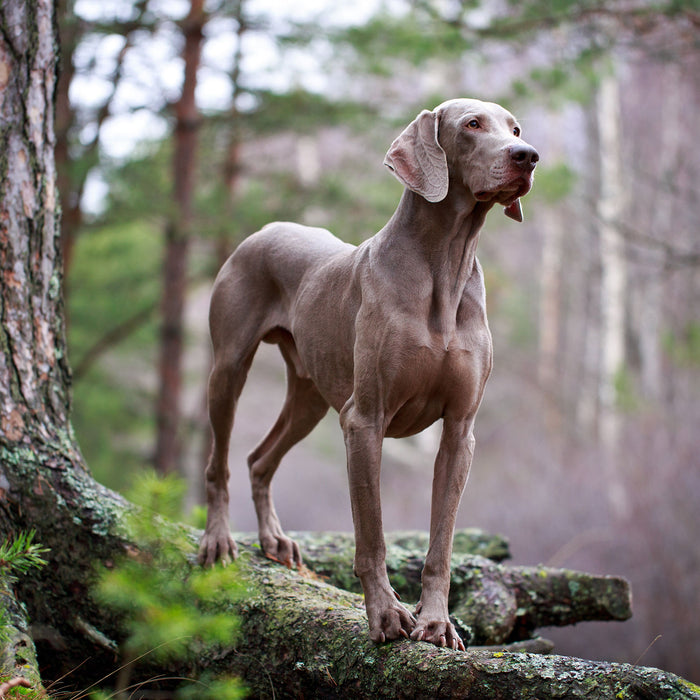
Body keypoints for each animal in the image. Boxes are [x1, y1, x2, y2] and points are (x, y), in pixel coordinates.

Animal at [200, 98, 540, 652]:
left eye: (514, 128)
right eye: (472, 124)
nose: (527, 156)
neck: (444, 265)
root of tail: (266, 228)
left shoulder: (459, 432)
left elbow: (441, 543)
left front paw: (436, 623)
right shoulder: (364, 421)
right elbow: (372, 535)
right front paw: (385, 615)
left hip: (310, 397)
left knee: (258, 459)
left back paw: (274, 540)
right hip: (229, 369)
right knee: (220, 462)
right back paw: (218, 539)